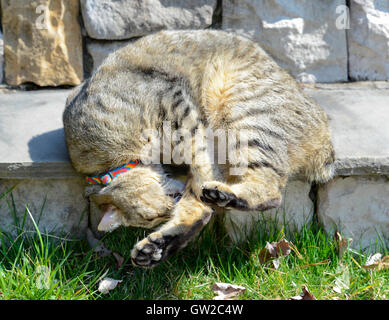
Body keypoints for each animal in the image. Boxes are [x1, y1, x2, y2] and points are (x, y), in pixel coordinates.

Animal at [63, 30, 334, 268]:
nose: (171, 206)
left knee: (269, 191)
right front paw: (161, 242)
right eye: (153, 219)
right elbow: (196, 201)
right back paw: (157, 246)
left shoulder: (177, 108)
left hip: (244, 113)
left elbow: (200, 164)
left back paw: (221, 195)